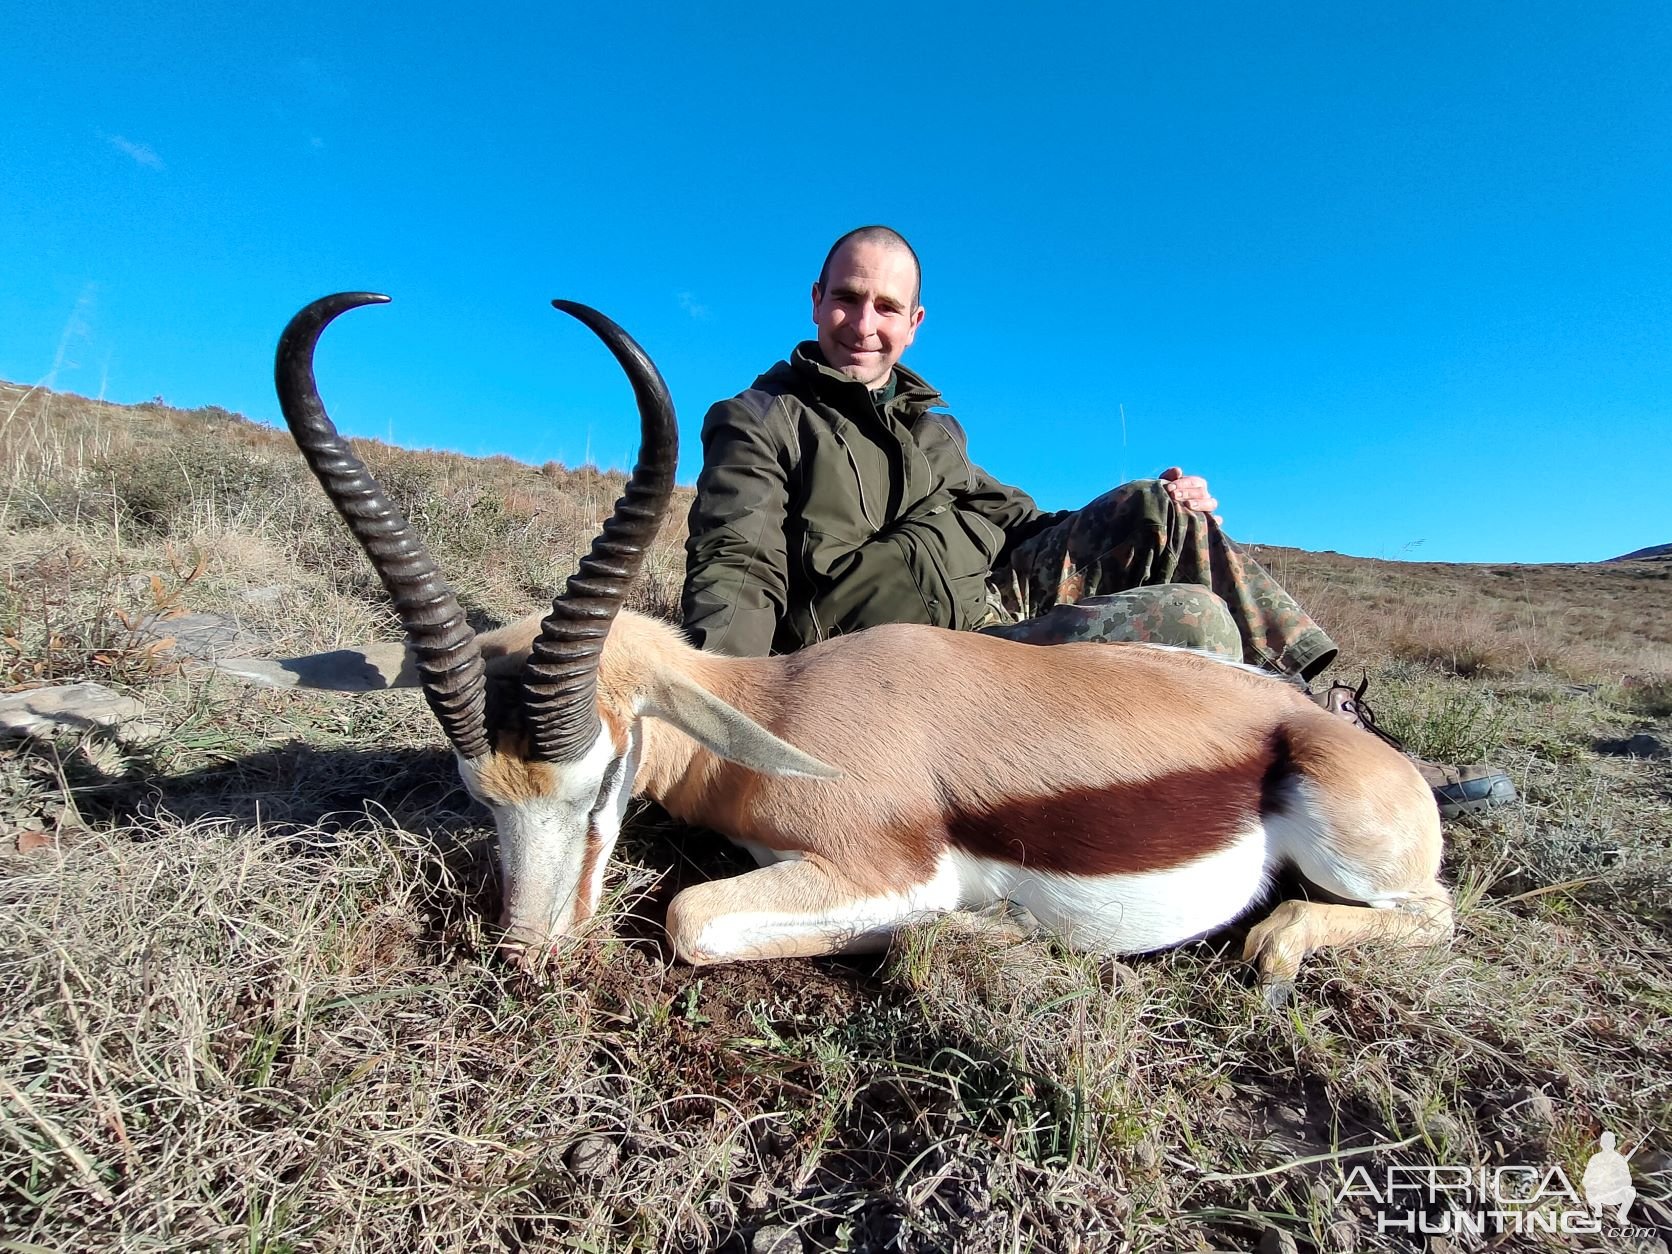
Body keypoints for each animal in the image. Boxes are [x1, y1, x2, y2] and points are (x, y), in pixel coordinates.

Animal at [229, 294, 1457, 1003]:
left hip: (1357, 859)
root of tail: (1317, 729)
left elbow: (686, 916)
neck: (778, 711)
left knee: (1426, 917)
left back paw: (1274, 945)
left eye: (602, 782)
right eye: (478, 794)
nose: (528, 957)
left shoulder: (885, 866)